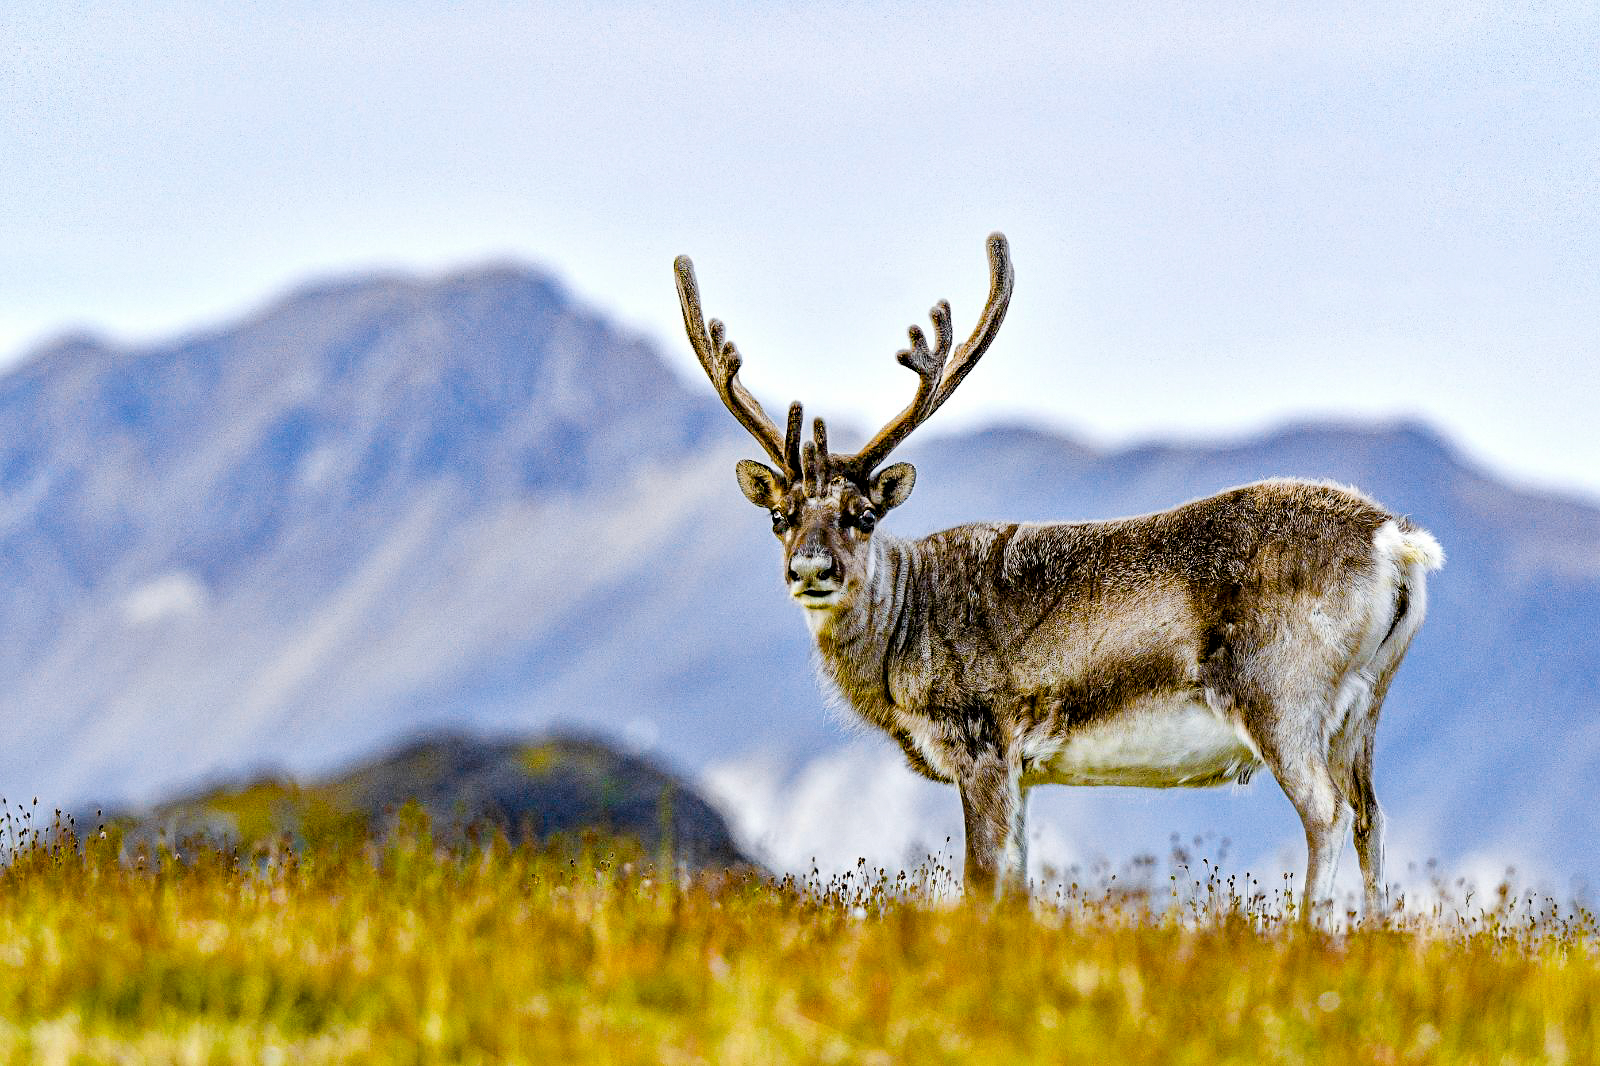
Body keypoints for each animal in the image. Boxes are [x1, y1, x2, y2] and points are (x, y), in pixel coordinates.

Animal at [673, 233, 1443, 917]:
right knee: (1372, 817)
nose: (810, 567)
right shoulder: (1026, 773)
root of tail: (1396, 542)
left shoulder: (982, 747)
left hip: (1283, 700)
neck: (899, 636)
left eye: (862, 514)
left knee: (1328, 814)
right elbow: (1019, 888)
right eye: (780, 516)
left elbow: (982, 885)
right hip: (1363, 711)